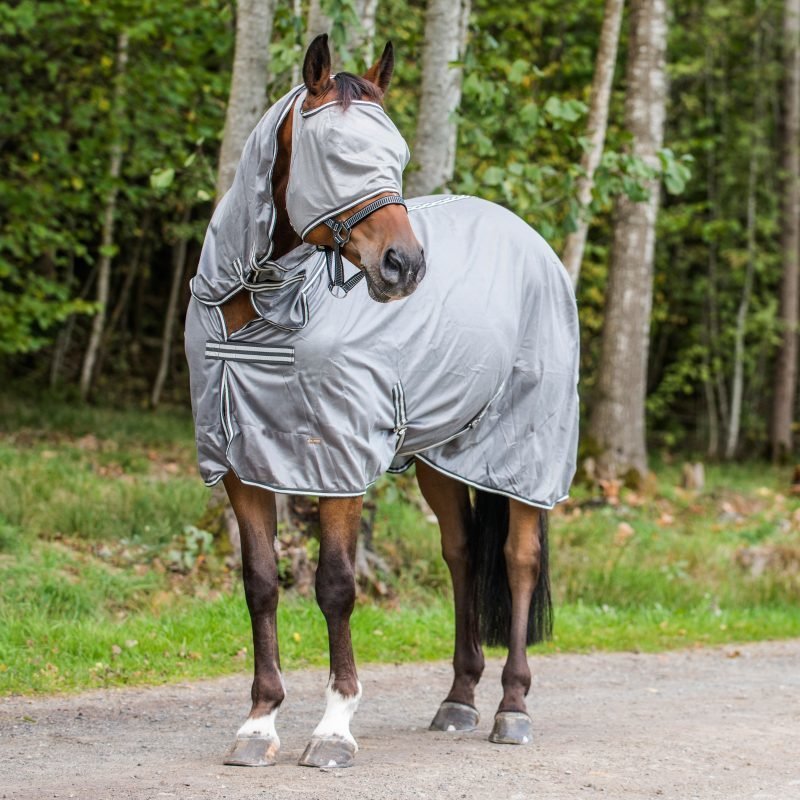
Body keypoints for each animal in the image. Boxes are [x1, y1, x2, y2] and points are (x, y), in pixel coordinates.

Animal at [184, 32, 580, 768]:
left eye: (394, 155)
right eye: (335, 154)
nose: (405, 266)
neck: (260, 313)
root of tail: (531, 241)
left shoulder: (336, 462)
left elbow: (337, 586)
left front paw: (334, 728)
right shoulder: (241, 463)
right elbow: (260, 584)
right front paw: (258, 723)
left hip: (525, 451)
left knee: (517, 559)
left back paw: (511, 708)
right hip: (442, 456)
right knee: (462, 554)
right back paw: (458, 699)